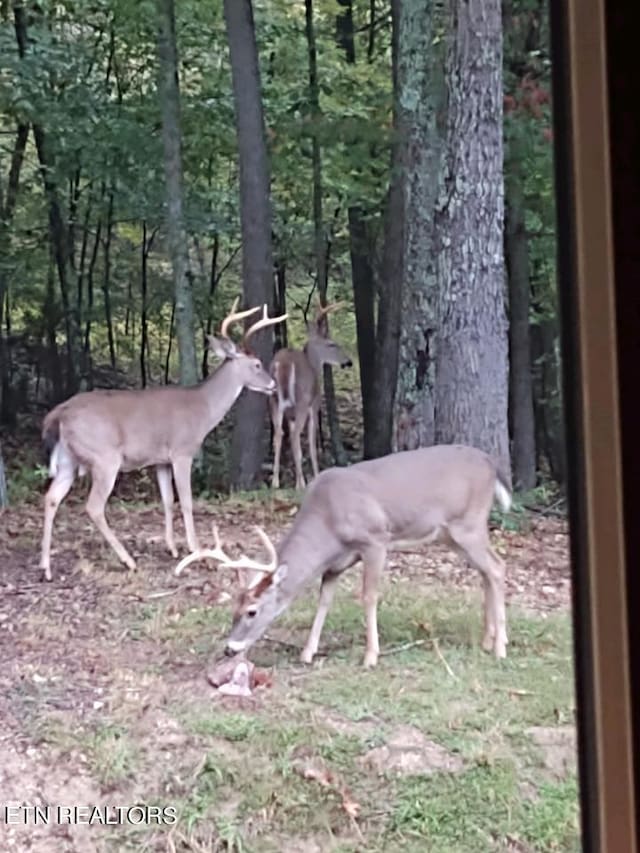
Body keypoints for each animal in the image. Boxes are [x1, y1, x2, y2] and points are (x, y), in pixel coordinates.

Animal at [38, 296, 286, 584]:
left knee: (51, 497)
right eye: (256, 365)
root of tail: (59, 414)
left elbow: (167, 500)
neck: (203, 409)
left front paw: (172, 547)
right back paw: (128, 561)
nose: (273, 384)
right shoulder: (182, 451)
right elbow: (186, 501)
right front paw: (196, 549)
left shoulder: (160, 460)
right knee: (94, 506)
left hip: (69, 459)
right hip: (104, 458)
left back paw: (46, 568)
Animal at [172, 442, 512, 668]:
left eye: (252, 611)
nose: (230, 649)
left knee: (497, 567)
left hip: (468, 524)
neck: (328, 522)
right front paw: (307, 652)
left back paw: (500, 648)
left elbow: (369, 596)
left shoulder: (375, 540)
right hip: (453, 534)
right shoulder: (336, 563)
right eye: (234, 607)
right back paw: (487, 640)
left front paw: (371, 656)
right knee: (486, 572)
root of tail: (490, 463)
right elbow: (324, 600)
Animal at [268, 300, 352, 490]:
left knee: (278, 434)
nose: (349, 361)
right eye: (331, 344)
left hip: (273, 400)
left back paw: (275, 481)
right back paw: (300, 484)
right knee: (294, 436)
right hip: (302, 400)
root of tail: (284, 363)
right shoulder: (313, 406)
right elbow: (312, 445)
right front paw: (314, 476)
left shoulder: (291, 415)